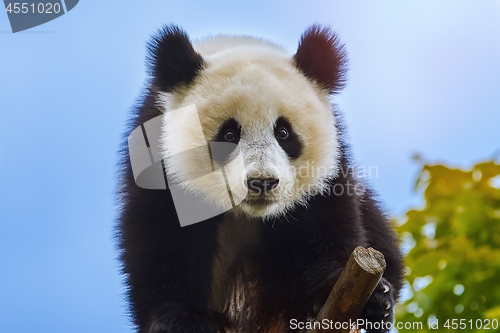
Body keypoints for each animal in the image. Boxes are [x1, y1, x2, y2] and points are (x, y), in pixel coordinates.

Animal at [119, 24, 404, 332]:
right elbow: (162, 235)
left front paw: (342, 290)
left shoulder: (328, 167)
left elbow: (320, 223)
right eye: (229, 134)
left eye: (283, 132)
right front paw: (178, 318)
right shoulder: (155, 150)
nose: (262, 182)